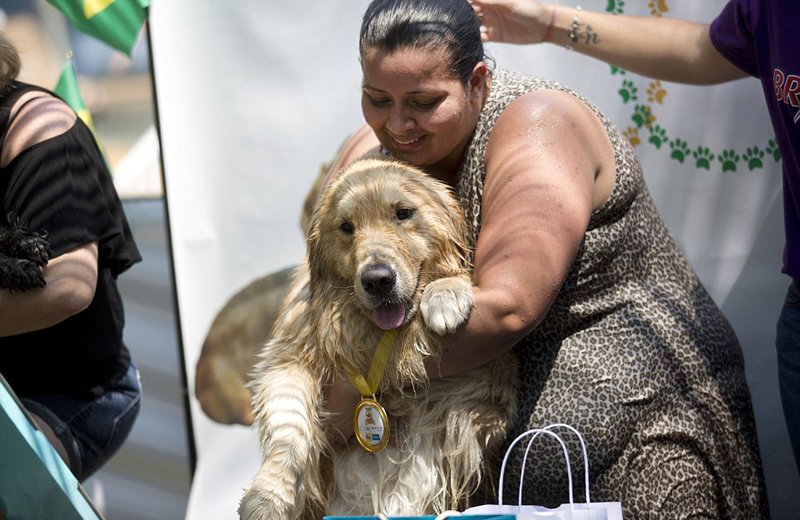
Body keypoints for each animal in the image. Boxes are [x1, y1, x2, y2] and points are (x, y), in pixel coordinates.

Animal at [238, 155, 516, 520]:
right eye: (346, 227)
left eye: (403, 212)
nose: (378, 280)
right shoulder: (289, 357)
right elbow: (290, 428)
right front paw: (268, 497)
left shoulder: (491, 377)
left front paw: (446, 291)